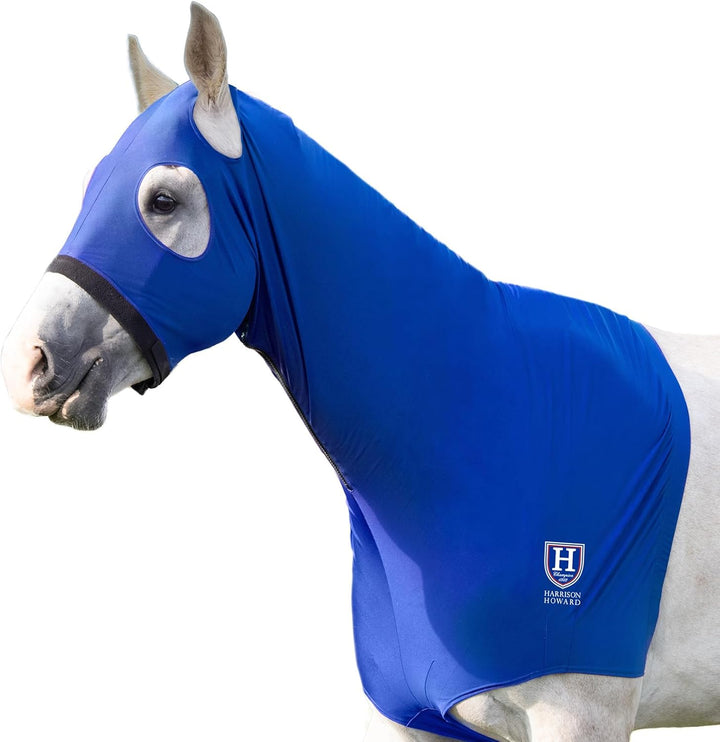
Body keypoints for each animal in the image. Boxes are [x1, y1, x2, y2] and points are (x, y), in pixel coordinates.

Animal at [2, 4, 719, 741]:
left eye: (163, 200)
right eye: (90, 190)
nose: (30, 360)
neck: (479, 424)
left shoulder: (581, 715)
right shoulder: (420, 721)